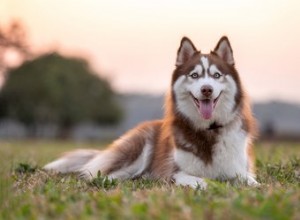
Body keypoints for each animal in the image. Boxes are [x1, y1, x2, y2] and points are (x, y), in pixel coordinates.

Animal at [44, 36, 258, 189]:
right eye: (194, 75)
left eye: (216, 75)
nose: (207, 89)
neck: (208, 131)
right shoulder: (174, 173)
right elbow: (203, 182)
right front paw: (211, 184)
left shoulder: (240, 170)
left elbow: (252, 183)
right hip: (137, 149)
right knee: (101, 174)